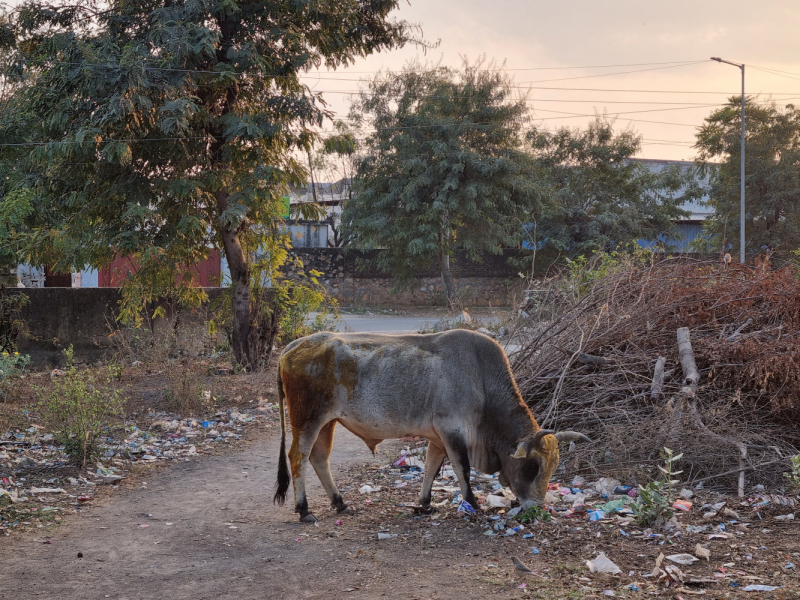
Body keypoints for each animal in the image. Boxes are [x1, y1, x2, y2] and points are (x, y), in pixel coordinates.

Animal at [272, 328, 592, 520]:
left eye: (553, 467)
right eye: (533, 466)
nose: (536, 508)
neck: (482, 380)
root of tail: (293, 346)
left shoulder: (439, 437)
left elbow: (431, 468)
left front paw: (424, 504)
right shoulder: (453, 431)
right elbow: (462, 470)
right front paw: (473, 503)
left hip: (328, 422)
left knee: (319, 458)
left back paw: (339, 502)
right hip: (308, 419)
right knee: (298, 456)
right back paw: (303, 510)